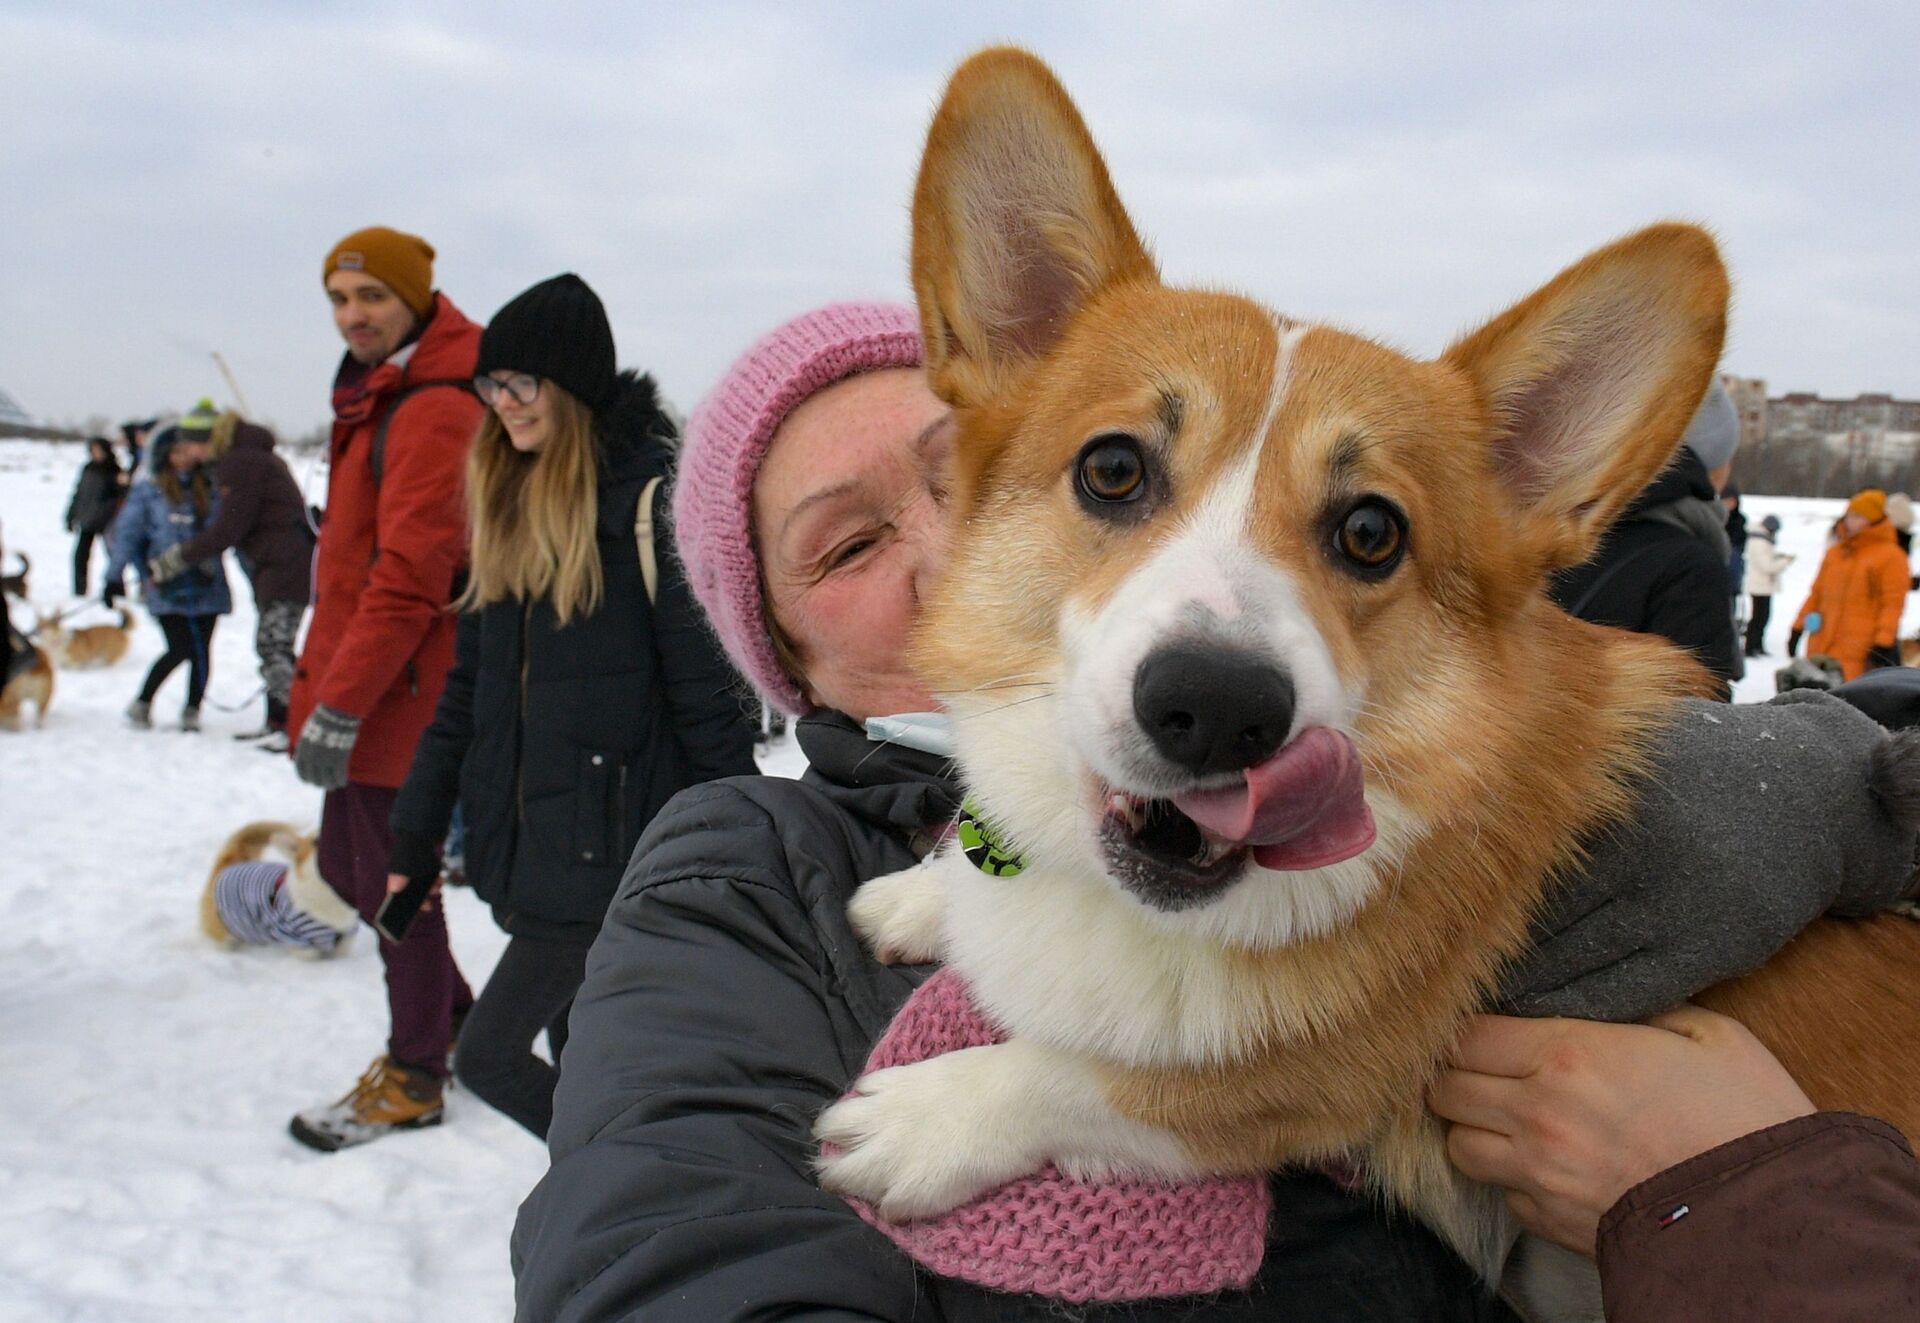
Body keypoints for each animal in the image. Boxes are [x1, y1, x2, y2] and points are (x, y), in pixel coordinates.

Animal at [198, 814, 357, 960]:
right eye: (316, 842)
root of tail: (227, 865)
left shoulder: (346, 937)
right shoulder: (294, 937)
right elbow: (311, 955)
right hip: (223, 929)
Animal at [817, 46, 1920, 1313]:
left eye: (1371, 534)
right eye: (1113, 469)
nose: (1220, 708)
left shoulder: (1316, 1079)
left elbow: (1094, 1080)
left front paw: (925, 1116)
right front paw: (923, 893)